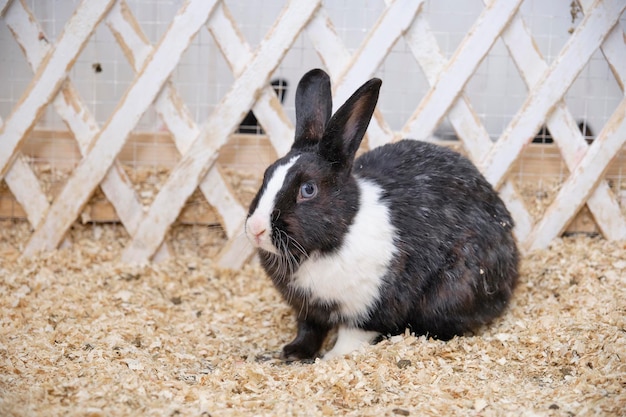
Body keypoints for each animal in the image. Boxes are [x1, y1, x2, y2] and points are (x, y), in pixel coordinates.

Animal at [244, 69, 516, 360]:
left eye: (308, 189)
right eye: (267, 174)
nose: (256, 229)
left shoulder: (370, 307)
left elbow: (352, 336)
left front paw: (331, 358)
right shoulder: (308, 309)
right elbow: (309, 330)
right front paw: (292, 353)